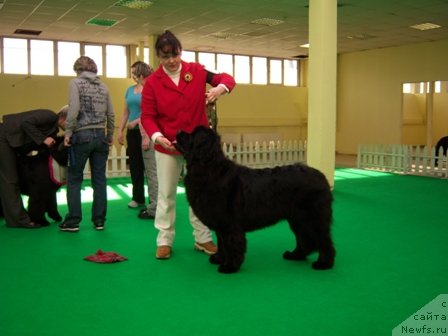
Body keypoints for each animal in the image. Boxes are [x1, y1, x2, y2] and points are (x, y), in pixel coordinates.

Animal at [175, 125, 336, 272]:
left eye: (193, 134)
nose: (178, 131)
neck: (208, 168)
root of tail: (322, 177)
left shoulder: (230, 224)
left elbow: (231, 244)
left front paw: (229, 266)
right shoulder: (221, 223)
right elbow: (221, 243)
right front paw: (219, 259)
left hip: (313, 217)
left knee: (323, 239)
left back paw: (323, 263)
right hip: (298, 219)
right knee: (305, 238)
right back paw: (295, 255)